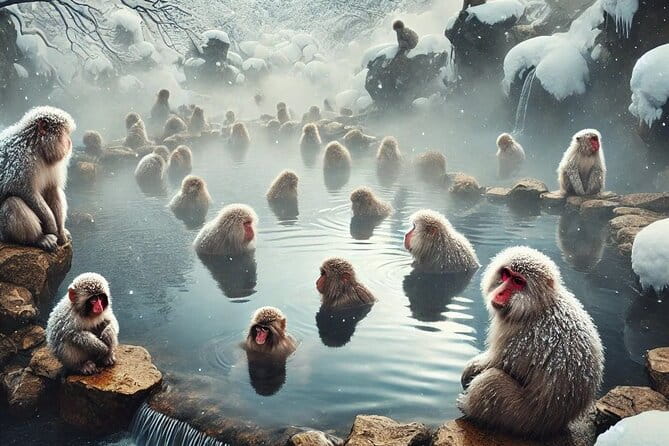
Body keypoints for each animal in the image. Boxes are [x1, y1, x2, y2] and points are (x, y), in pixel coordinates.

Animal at [0, 106, 74, 251]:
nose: (69, 143)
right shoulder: (21, 160)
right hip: (2, 233)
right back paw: (38, 239)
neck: (36, 147)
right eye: (64, 134)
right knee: (12, 202)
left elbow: (52, 189)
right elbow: (25, 191)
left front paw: (60, 232)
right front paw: (51, 226)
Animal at [458, 246, 604, 438]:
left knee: (490, 382)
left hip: (522, 417)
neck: (538, 306)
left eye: (518, 281)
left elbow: (498, 362)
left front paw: (472, 369)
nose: (500, 292)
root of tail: (556, 425)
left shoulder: (520, 335)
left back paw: (468, 407)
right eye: (506, 274)